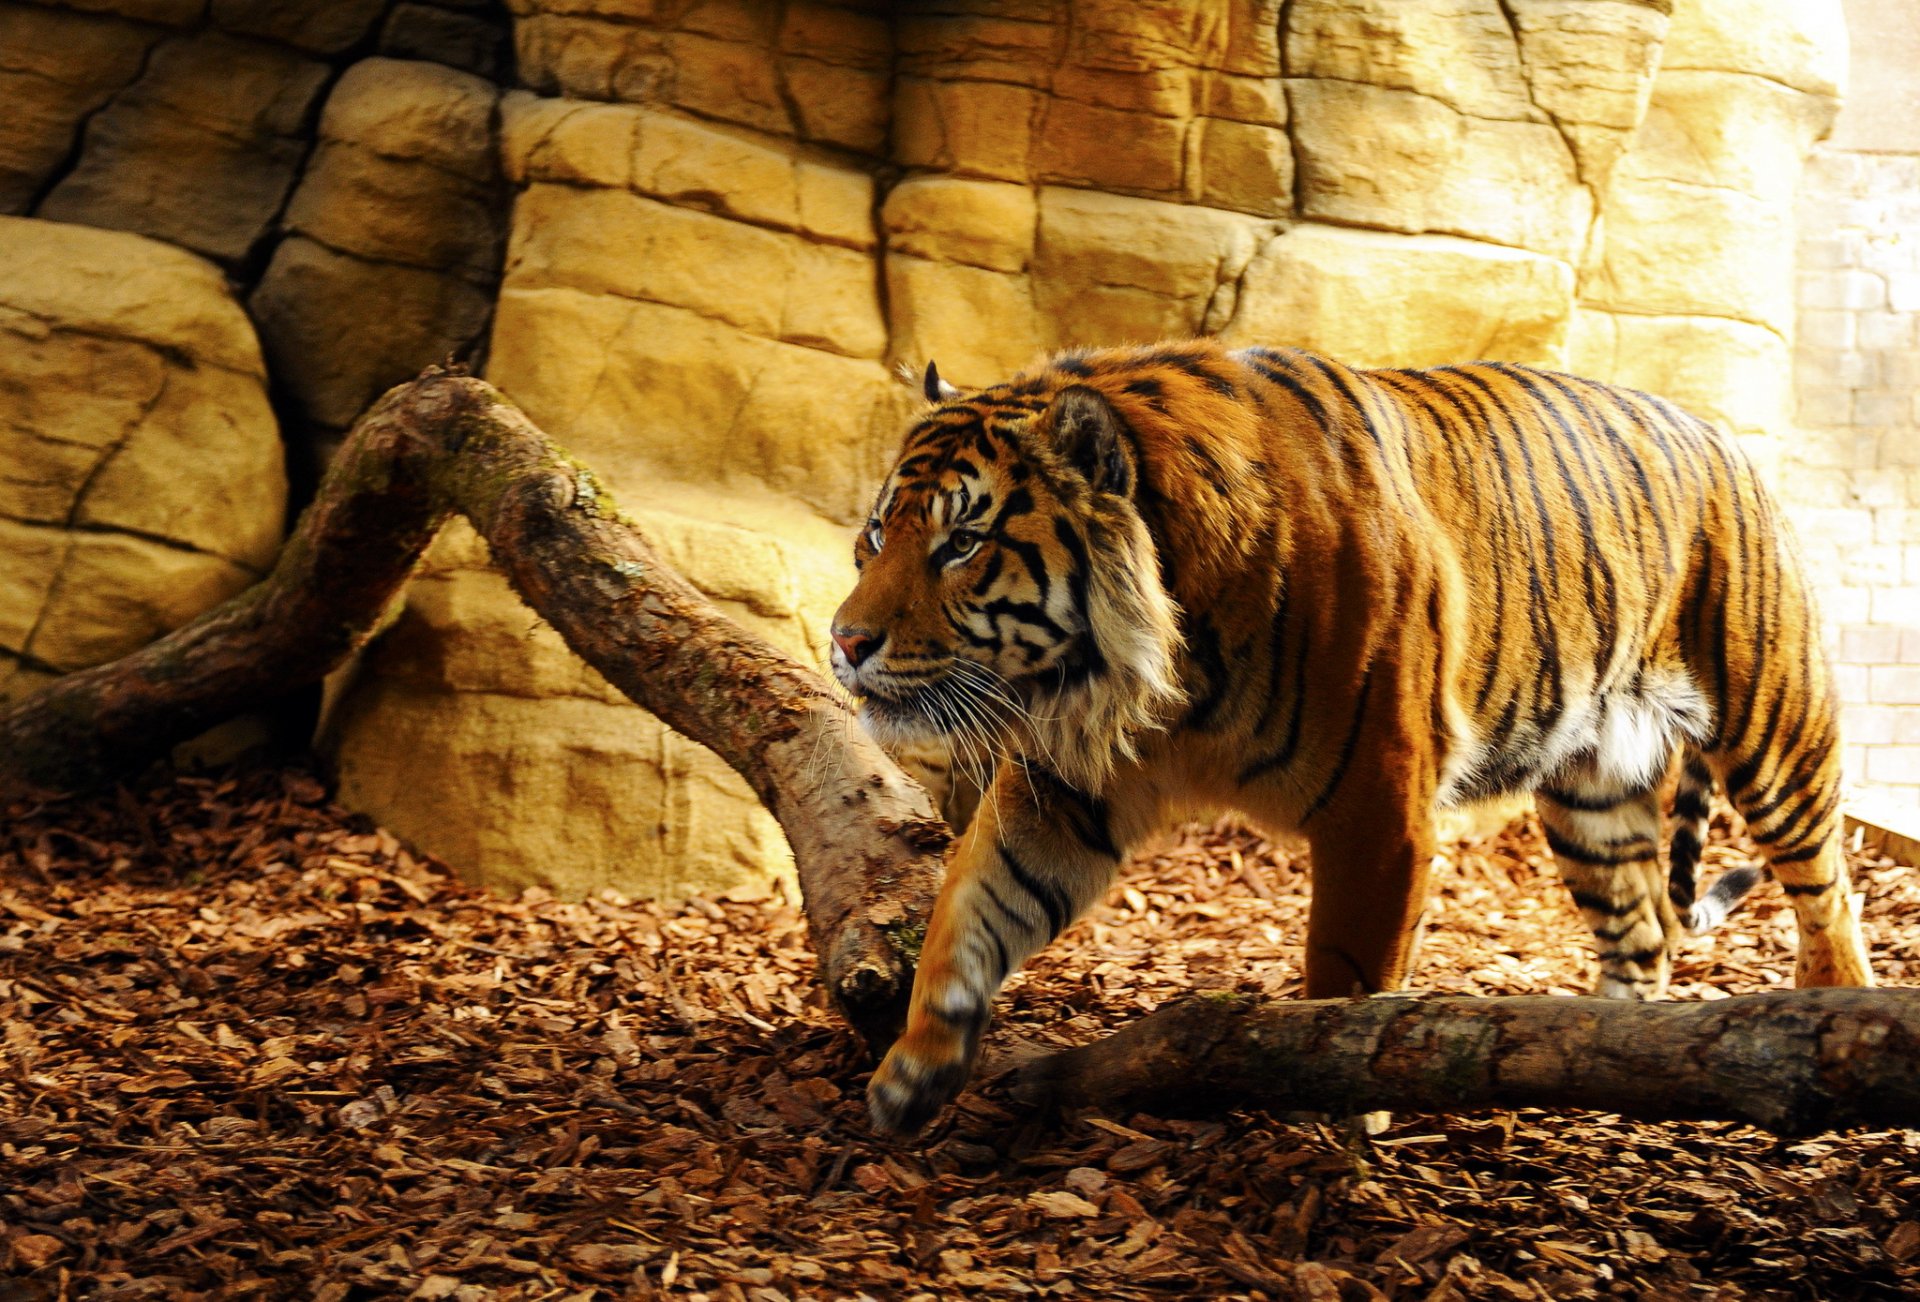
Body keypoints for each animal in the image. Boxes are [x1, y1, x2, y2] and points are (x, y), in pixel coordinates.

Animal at [828, 340, 1876, 1135]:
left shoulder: (1378, 809)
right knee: (1644, 929)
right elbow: (971, 905)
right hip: (1592, 792)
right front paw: (914, 1069)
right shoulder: (1063, 786)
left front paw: (1328, 1116)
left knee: (1828, 891)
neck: (1147, 673)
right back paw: (1599, 1054)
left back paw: (1828, 1008)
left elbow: (1341, 978)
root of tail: (1723, 437)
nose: (843, 642)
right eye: (876, 535)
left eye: (961, 545)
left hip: (1775, 729)